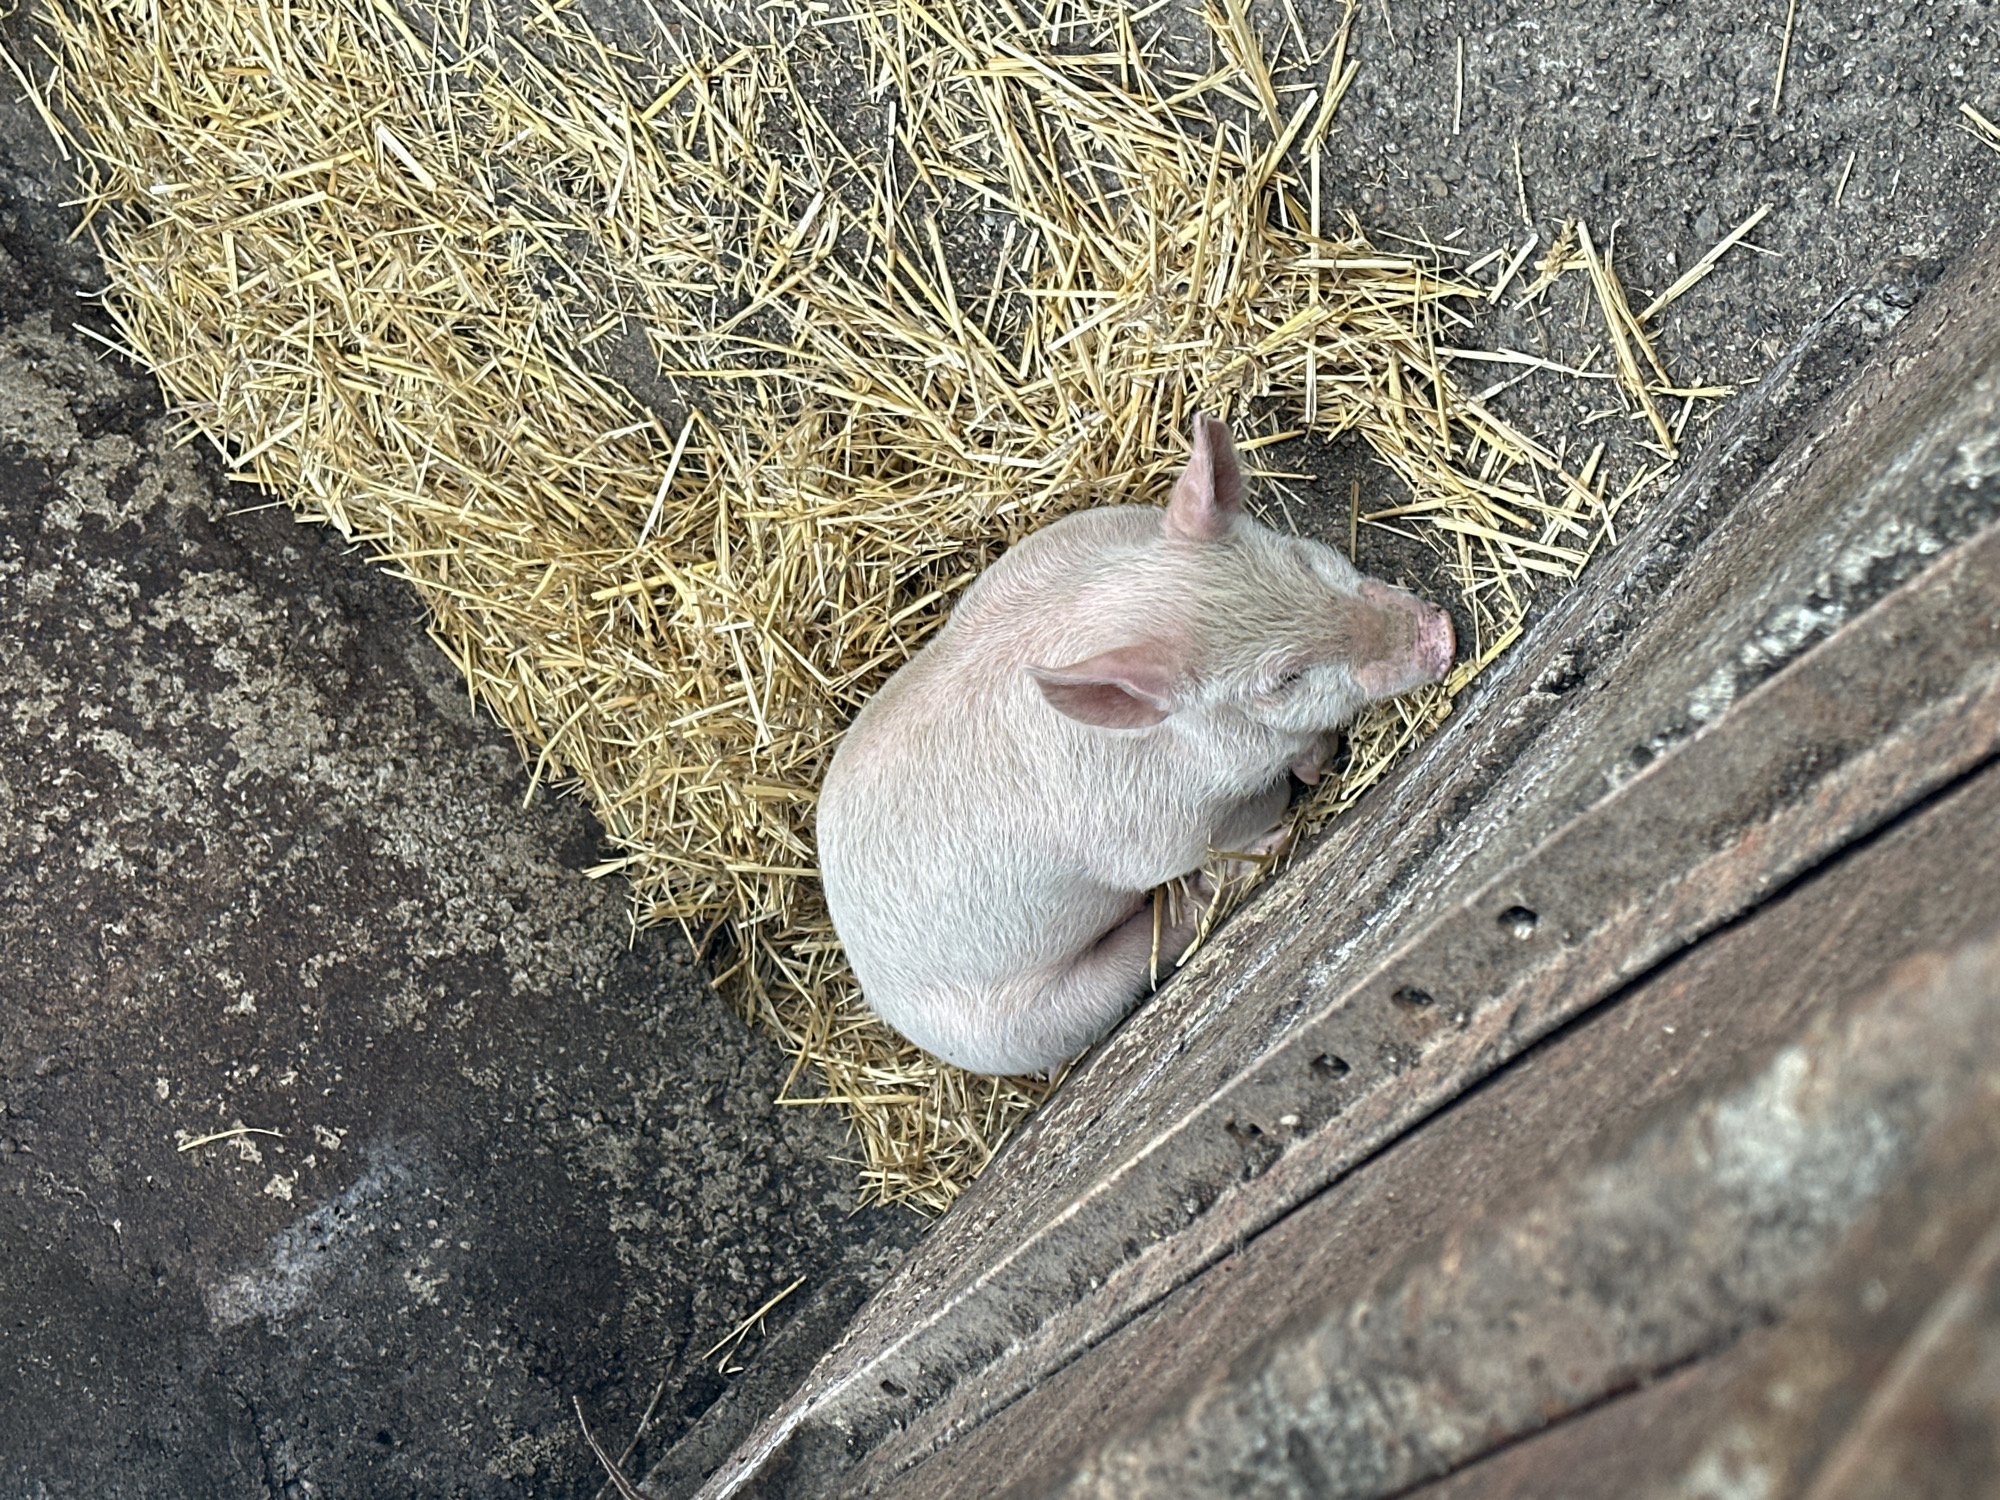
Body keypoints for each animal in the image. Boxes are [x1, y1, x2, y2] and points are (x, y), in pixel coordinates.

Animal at [816, 415, 1455, 1076]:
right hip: (1024, 1026)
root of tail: (867, 971)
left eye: (1303, 559)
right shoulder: (1152, 836)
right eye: (1284, 679)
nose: (1440, 634)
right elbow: (1215, 832)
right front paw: (1298, 783)